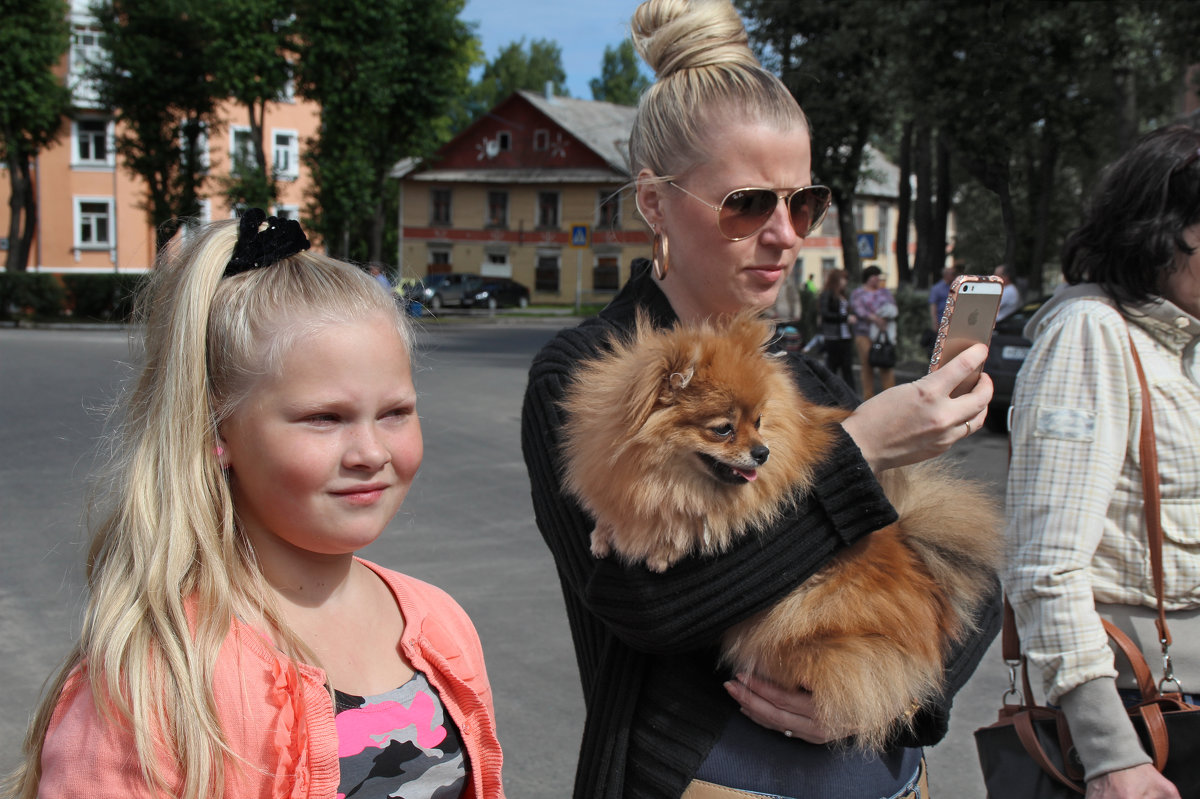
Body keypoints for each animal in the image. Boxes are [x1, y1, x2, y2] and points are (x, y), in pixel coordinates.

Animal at [561, 309, 1003, 748]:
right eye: (724, 428)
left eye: (758, 421)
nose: (763, 452)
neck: (664, 474)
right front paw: (605, 533)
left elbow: (693, 520)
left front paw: (662, 544)